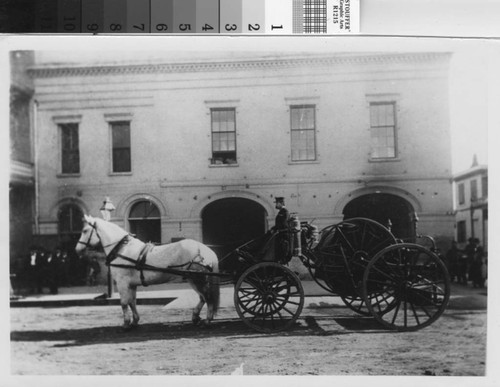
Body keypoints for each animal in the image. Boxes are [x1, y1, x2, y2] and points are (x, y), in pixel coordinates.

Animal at [75, 215, 220, 330]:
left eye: (85, 230)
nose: (77, 249)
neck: (122, 249)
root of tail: (204, 248)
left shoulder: (122, 283)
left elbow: (124, 303)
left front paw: (126, 324)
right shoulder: (131, 284)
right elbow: (132, 302)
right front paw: (135, 321)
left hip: (197, 278)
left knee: (207, 297)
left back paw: (207, 320)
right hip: (192, 278)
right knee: (203, 297)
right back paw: (196, 317)